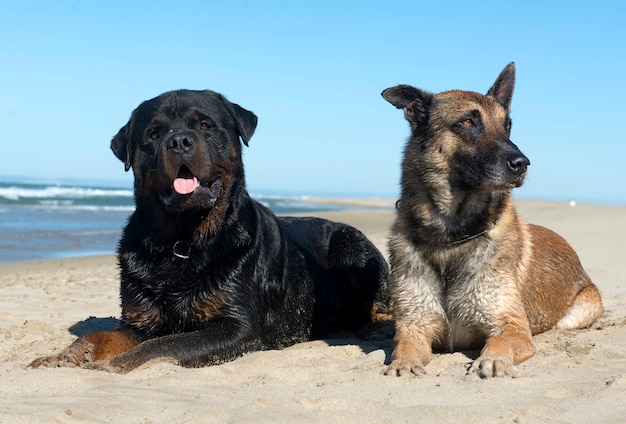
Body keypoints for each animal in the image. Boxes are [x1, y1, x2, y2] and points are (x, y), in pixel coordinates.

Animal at [33, 88, 390, 372]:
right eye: (153, 134)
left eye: (204, 125)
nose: (179, 141)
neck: (181, 240)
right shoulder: (143, 319)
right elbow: (100, 335)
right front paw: (60, 357)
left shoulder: (236, 327)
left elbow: (161, 346)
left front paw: (112, 366)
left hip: (351, 243)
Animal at [380, 62, 600, 378]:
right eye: (468, 122)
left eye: (507, 125)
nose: (522, 164)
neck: (452, 235)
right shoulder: (414, 326)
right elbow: (403, 346)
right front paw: (403, 363)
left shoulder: (512, 327)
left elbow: (499, 341)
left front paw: (493, 359)